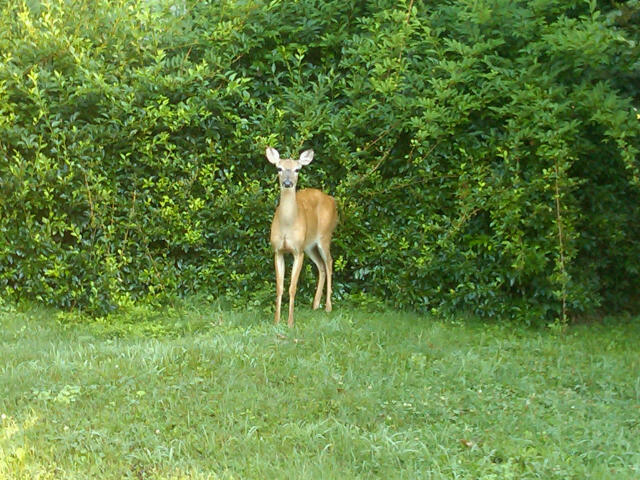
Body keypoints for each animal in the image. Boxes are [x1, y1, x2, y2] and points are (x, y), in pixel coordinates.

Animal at [266, 146, 340, 326]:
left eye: (297, 169)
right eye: (279, 168)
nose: (287, 183)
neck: (287, 225)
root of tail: (332, 199)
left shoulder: (297, 251)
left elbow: (292, 287)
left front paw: (290, 322)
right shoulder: (278, 251)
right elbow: (279, 287)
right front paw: (276, 321)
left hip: (325, 235)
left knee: (329, 262)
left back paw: (328, 307)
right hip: (309, 246)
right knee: (321, 266)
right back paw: (315, 304)